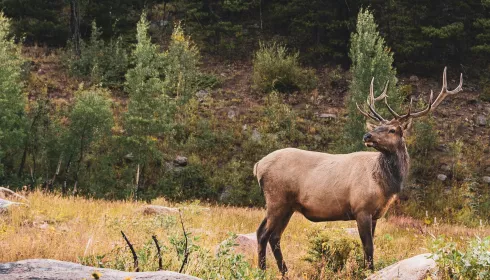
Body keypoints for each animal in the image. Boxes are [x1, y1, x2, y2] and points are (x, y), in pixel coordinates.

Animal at [256, 66, 464, 274]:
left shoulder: (376, 214)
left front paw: (366, 270)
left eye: (392, 130)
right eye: (379, 126)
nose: (367, 135)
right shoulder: (361, 208)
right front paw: (370, 271)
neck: (385, 185)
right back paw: (263, 270)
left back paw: (283, 271)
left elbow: (367, 248)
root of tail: (258, 166)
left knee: (273, 236)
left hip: (288, 206)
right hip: (277, 198)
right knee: (263, 234)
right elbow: (368, 247)